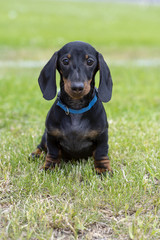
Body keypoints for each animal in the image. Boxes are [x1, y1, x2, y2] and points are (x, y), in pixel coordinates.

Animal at [31, 40, 113, 173]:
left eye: (90, 61)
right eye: (65, 61)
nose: (77, 87)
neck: (76, 109)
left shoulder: (102, 136)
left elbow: (101, 153)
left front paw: (103, 169)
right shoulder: (51, 136)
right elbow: (52, 153)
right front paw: (49, 167)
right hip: (44, 136)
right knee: (42, 146)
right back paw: (36, 154)